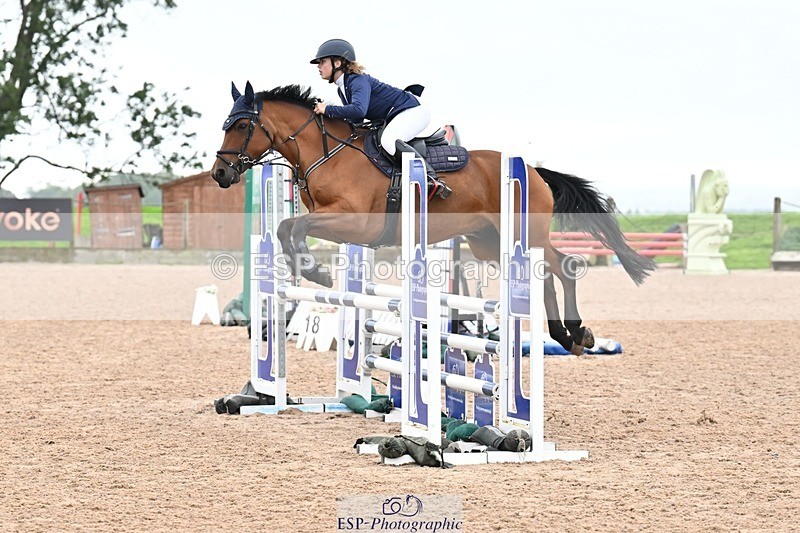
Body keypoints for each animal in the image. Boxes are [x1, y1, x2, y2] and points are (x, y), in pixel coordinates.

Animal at [211, 81, 655, 355]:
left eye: (242, 124)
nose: (220, 174)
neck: (326, 150)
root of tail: (534, 171)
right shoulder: (335, 222)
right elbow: (286, 227)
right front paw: (307, 269)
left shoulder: (355, 222)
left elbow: (295, 226)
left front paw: (315, 272)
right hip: (489, 242)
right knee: (546, 273)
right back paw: (566, 336)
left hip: (522, 235)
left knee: (566, 266)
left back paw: (577, 333)